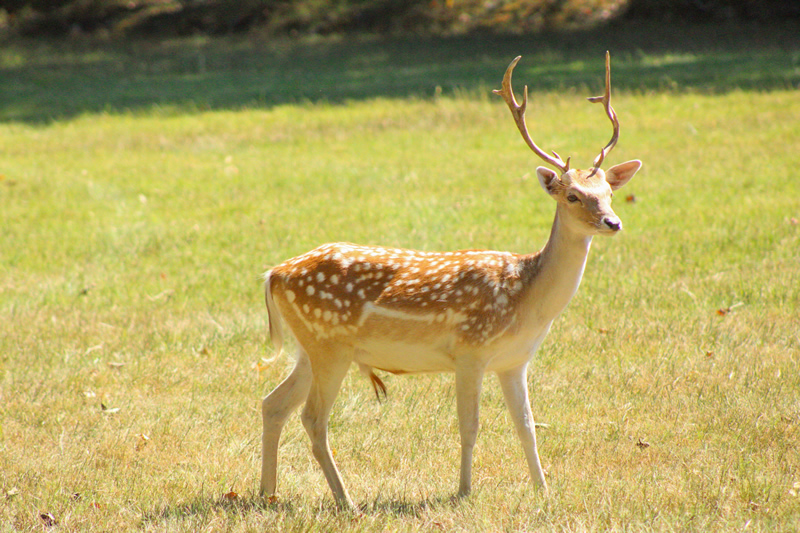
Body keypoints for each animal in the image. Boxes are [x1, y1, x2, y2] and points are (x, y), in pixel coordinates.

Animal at [259, 52, 641, 511]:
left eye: (609, 192)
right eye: (572, 195)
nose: (613, 222)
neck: (528, 300)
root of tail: (274, 274)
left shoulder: (515, 360)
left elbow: (527, 426)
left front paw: (543, 491)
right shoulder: (470, 350)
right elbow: (470, 425)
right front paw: (463, 491)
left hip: (310, 347)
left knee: (272, 403)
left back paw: (266, 494)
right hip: (329, 344)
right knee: (313, 417)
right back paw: (346, 501)